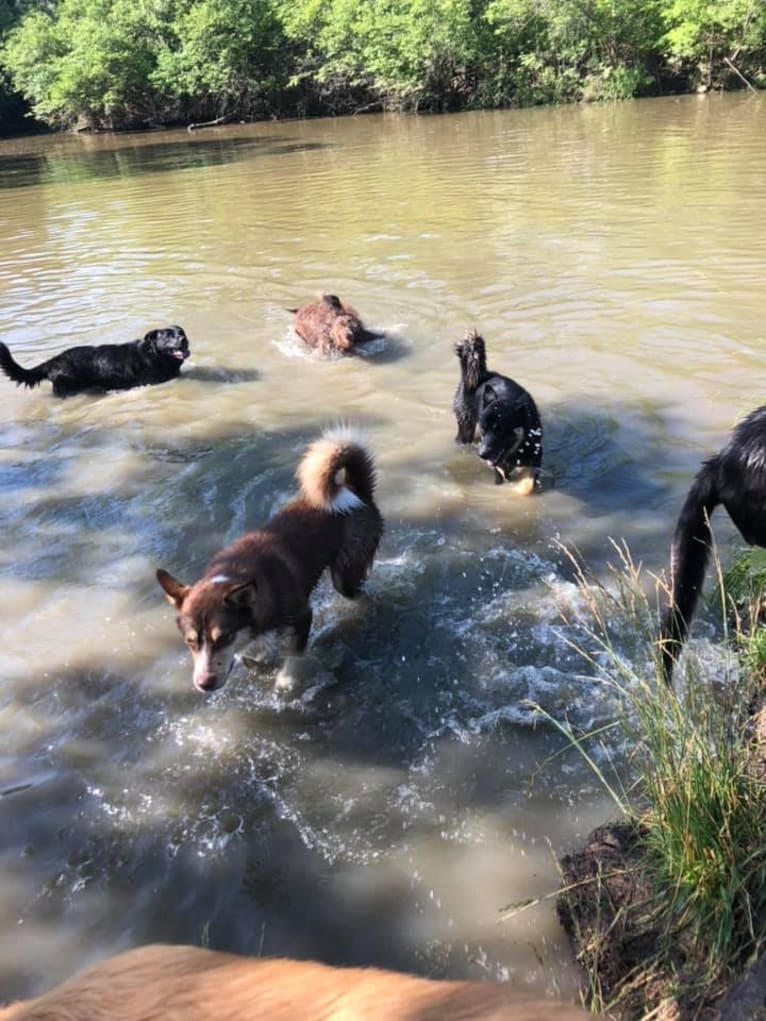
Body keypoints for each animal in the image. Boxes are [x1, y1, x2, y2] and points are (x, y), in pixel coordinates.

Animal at [453, 330, 543, 494]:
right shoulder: (497, 464)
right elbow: (500, 477)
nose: (482, 455)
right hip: (465, 425)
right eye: (484, 429)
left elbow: (528, 483)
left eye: (500, 430)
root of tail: (481, 375)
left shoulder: (535, 454)